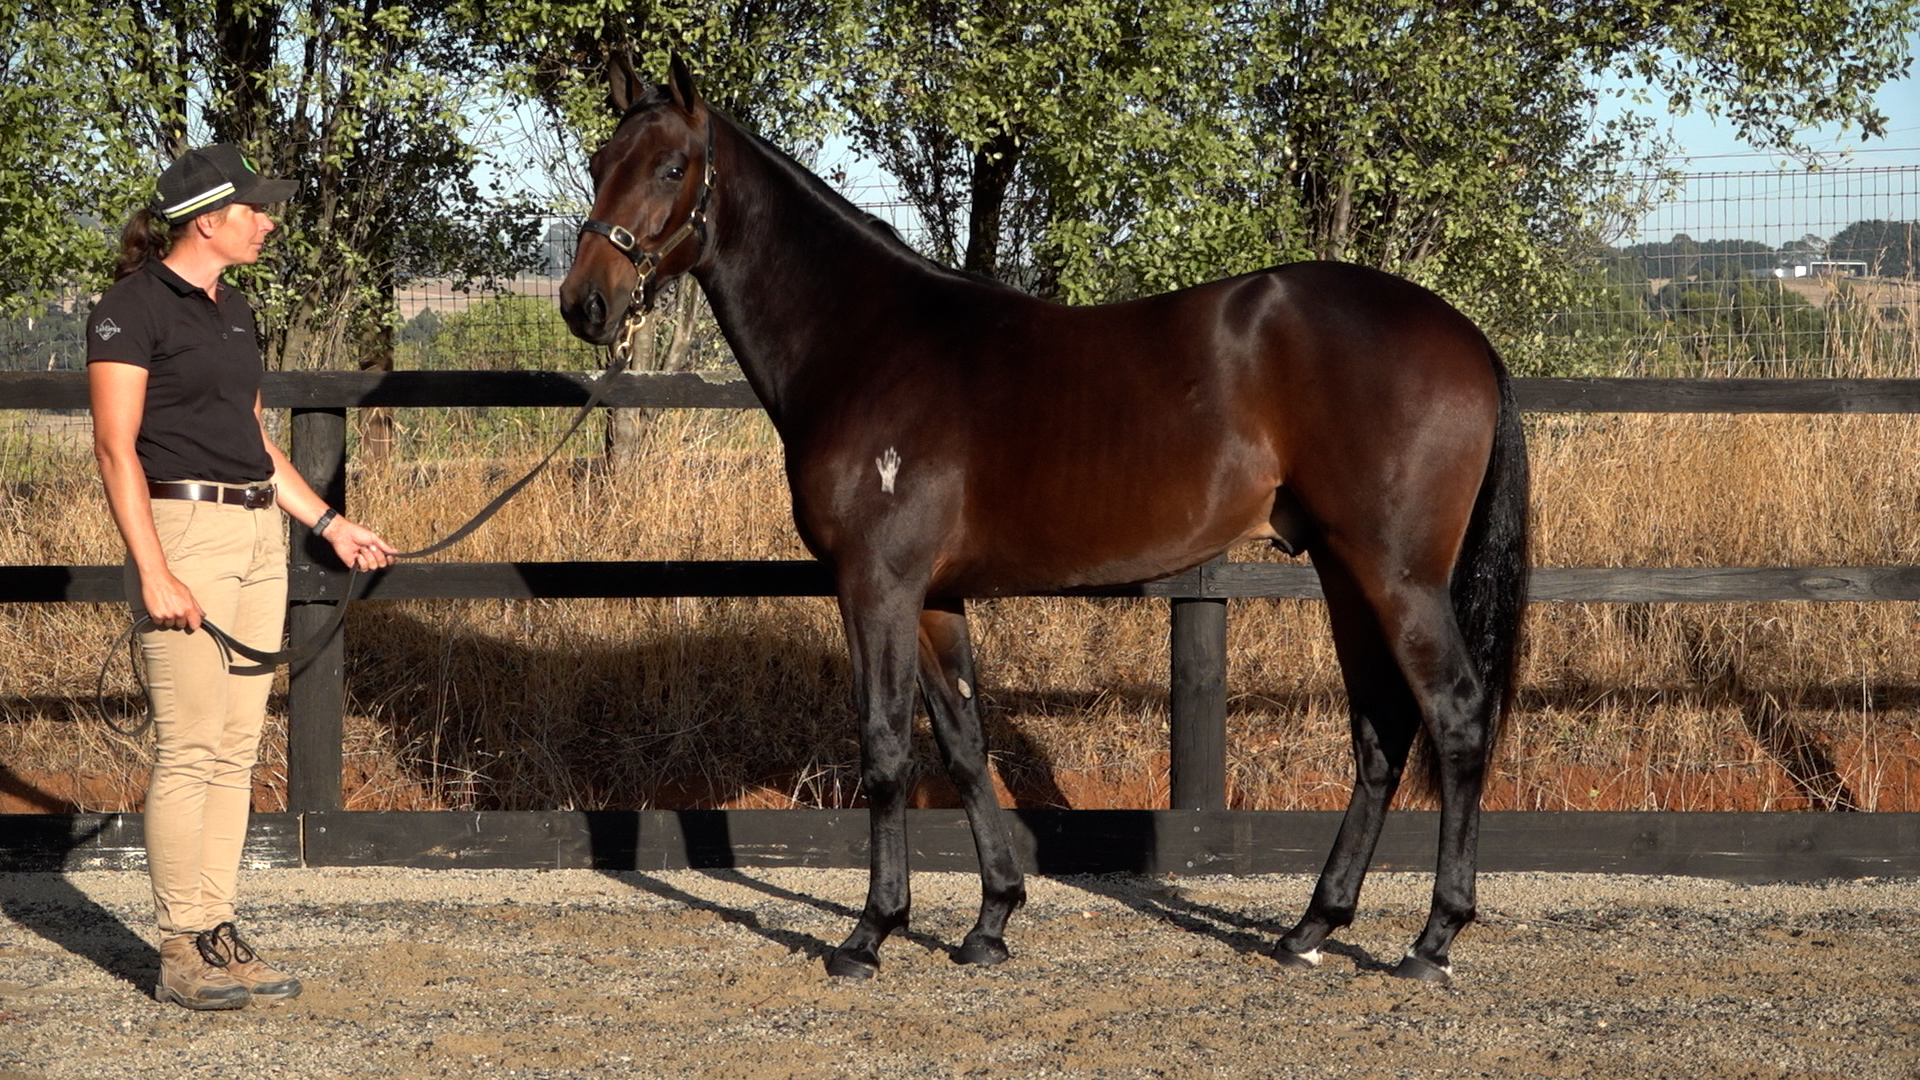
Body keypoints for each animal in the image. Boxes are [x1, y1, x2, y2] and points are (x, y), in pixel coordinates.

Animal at [560, 56, 1529, 985]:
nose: (584, 304)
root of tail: (1465, 337)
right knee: (1380, 730)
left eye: (673, 167)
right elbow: (962, 744)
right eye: (600, 163)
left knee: (1455, 716)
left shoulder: (876, 585)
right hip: (1344, 569)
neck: (869, 344)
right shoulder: (932, 596)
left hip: (1399, 576)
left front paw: (871, 933)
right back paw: (1311, 929)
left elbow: (885, 749)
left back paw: (1434, 939)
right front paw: (991, 921)